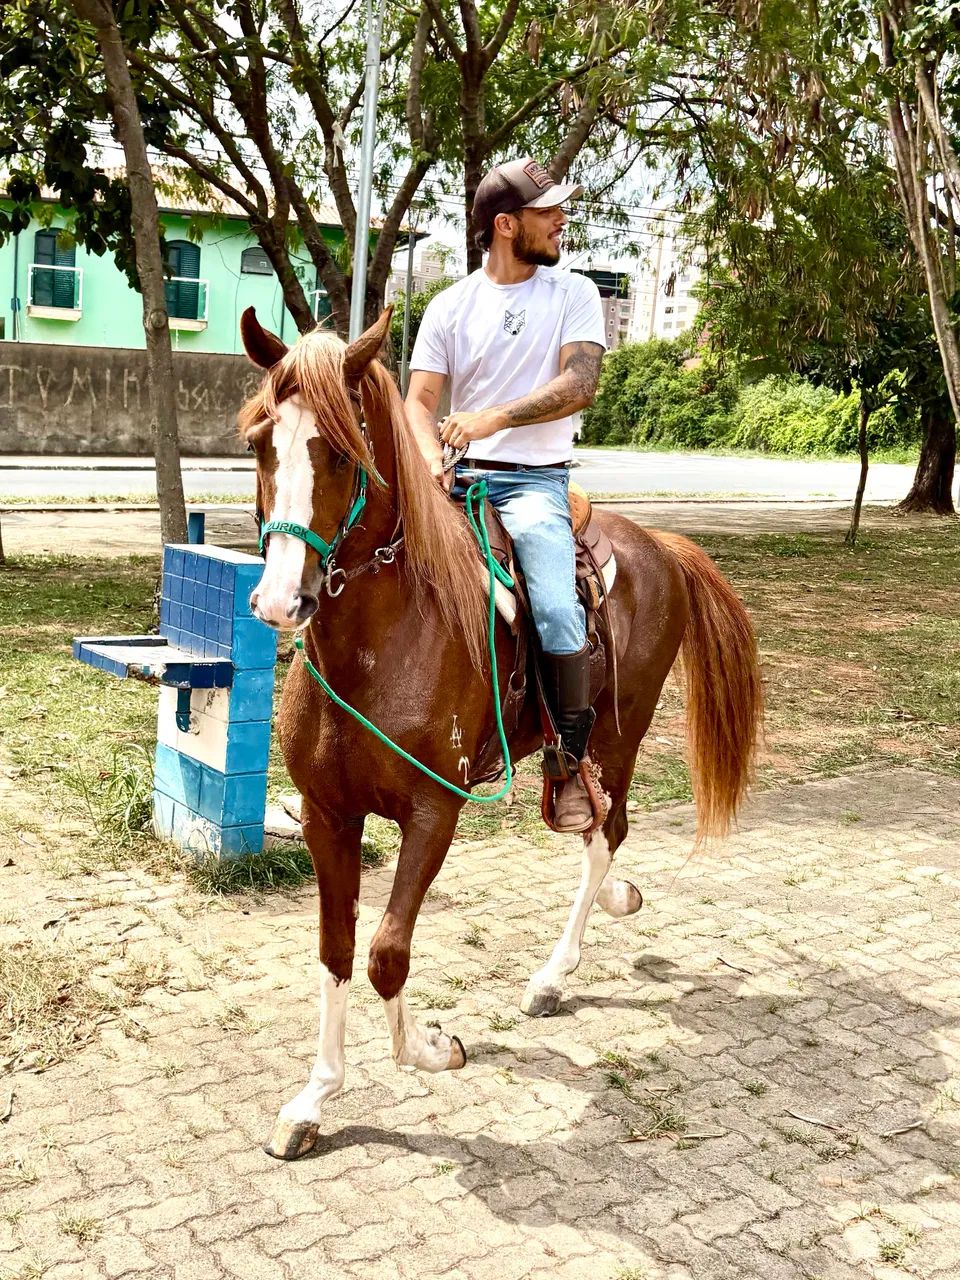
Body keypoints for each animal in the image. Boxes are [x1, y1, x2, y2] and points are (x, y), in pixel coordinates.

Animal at [237, 306, 763, 1161]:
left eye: (342, 453)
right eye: (259, 443)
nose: (283, 601)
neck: (384, 644)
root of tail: (662, 546)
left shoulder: (433, 814)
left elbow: (387, 954)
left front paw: (429, 1049)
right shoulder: (328, 817)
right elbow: (337, 950)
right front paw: (313, 1099)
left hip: (618, 737)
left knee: (607, 833)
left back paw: (554, 972)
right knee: (590, 827)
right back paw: (614, 900)